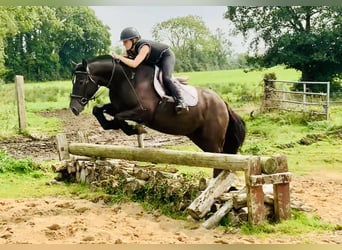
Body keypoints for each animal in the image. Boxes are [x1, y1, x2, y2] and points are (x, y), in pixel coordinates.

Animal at [70, 55, 246, 177]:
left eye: (81, 82)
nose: (73, 108)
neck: (124, 80)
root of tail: (222, 102)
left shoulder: (144, 112)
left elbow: (120, 118)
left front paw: (136, 130)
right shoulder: (118, 107)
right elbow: (99, 110)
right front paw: (114, 125)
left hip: (212, 139)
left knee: (220, 161)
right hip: (199, 137)